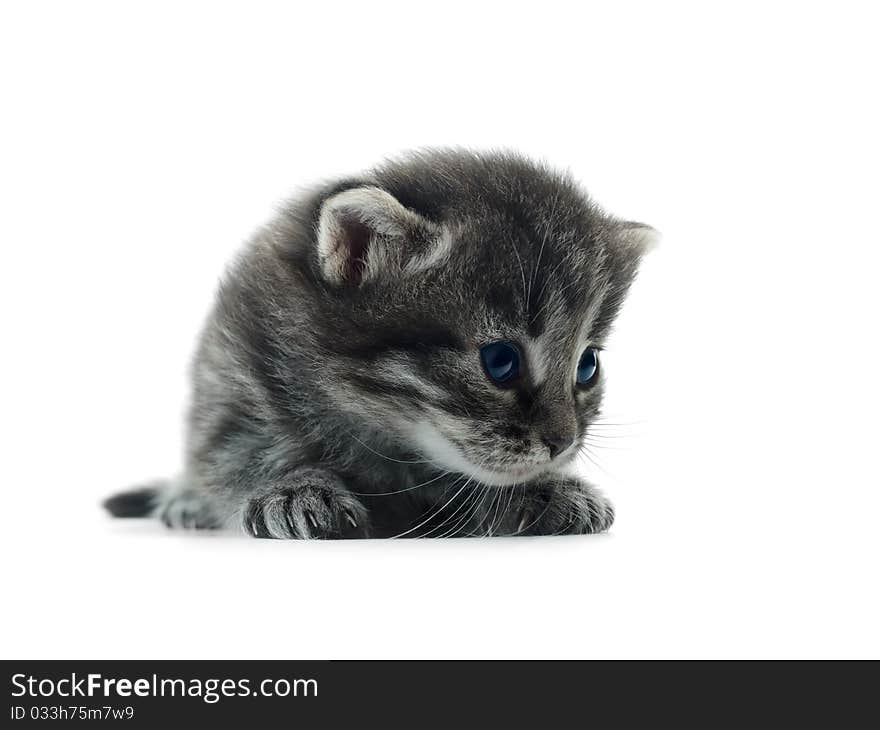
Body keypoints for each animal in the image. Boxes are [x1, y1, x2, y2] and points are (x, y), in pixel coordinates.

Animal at [101, 149, 652, 536]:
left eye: (587, 365)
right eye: (500, 361)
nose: (563, 444)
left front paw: (546, 489)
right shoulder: (235, 369)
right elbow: (234, 453)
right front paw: (293, 487)